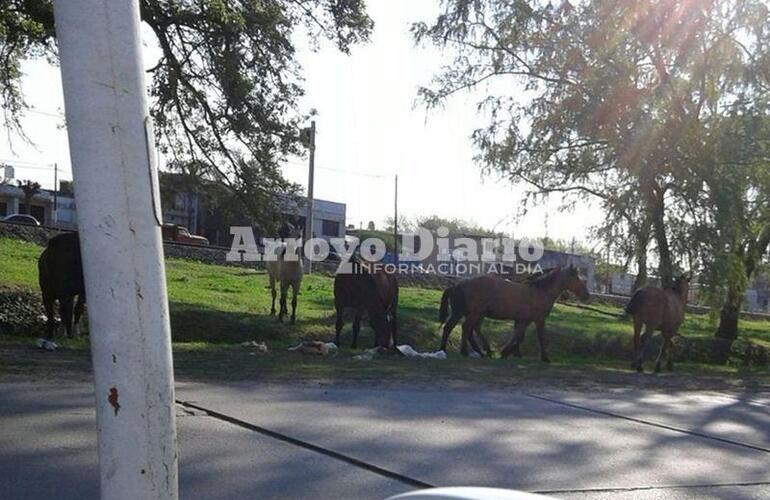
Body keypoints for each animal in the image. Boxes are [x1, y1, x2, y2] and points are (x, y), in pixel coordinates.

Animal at [438, 266, 588, 360]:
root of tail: (457, 285)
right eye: (577, 278)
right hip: (474, 313)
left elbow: (518, 336)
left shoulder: (523, 320)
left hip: (463, 313)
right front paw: (545, 358)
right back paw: (467, 351)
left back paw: (447, 350)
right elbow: (538, 337)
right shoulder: (538, 319)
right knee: (466, 328)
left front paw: (511, 353)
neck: (540, 292)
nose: (586, 294)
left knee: (453, 328)